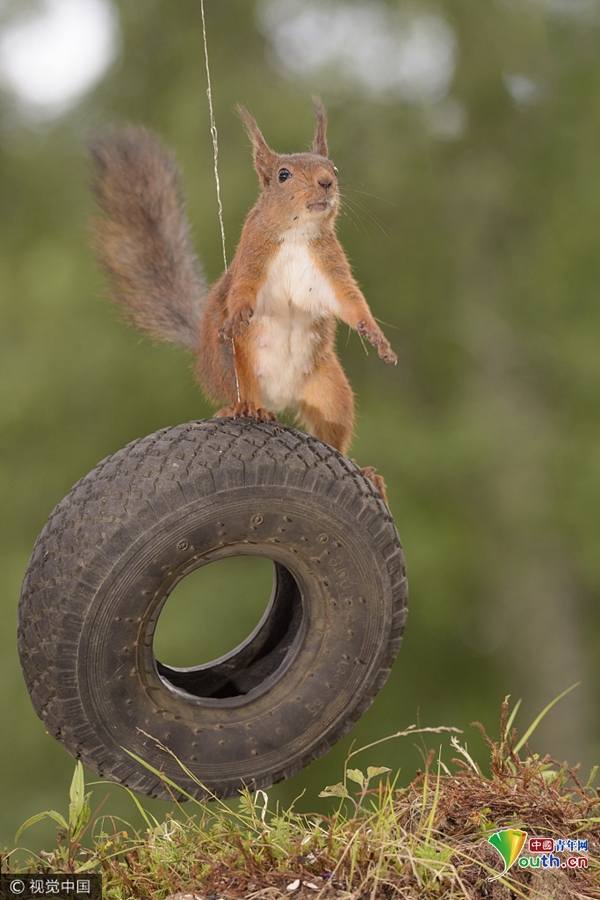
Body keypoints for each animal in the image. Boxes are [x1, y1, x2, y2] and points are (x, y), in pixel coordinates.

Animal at [89, 105, 396, 500]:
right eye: (283, 175)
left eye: (335, 168)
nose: (327, 182)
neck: (297, 235)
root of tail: (278, 398)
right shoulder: (251, 258)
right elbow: (242, 292)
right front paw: (235, 315)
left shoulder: (330, 267)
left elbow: (350, 302)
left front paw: (377, 338)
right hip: (237, 366)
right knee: (243, 396)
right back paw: (244, 409)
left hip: (330, 391)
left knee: (333, 439)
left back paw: (366, 472)